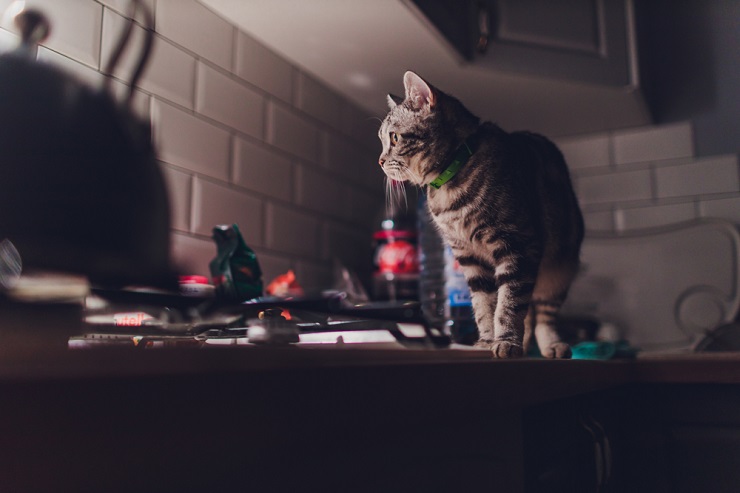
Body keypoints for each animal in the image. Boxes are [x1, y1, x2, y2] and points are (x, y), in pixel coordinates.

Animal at [378, 71, 580, 358]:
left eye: (394, 138)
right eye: (382, 139)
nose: (380, 161)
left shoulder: (517, 245)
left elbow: (509, 303)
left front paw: (506, 340)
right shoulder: (469, 258)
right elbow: (484, 305)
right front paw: (487, 340)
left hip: (559, 271)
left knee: (542, 314)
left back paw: (551, 345)